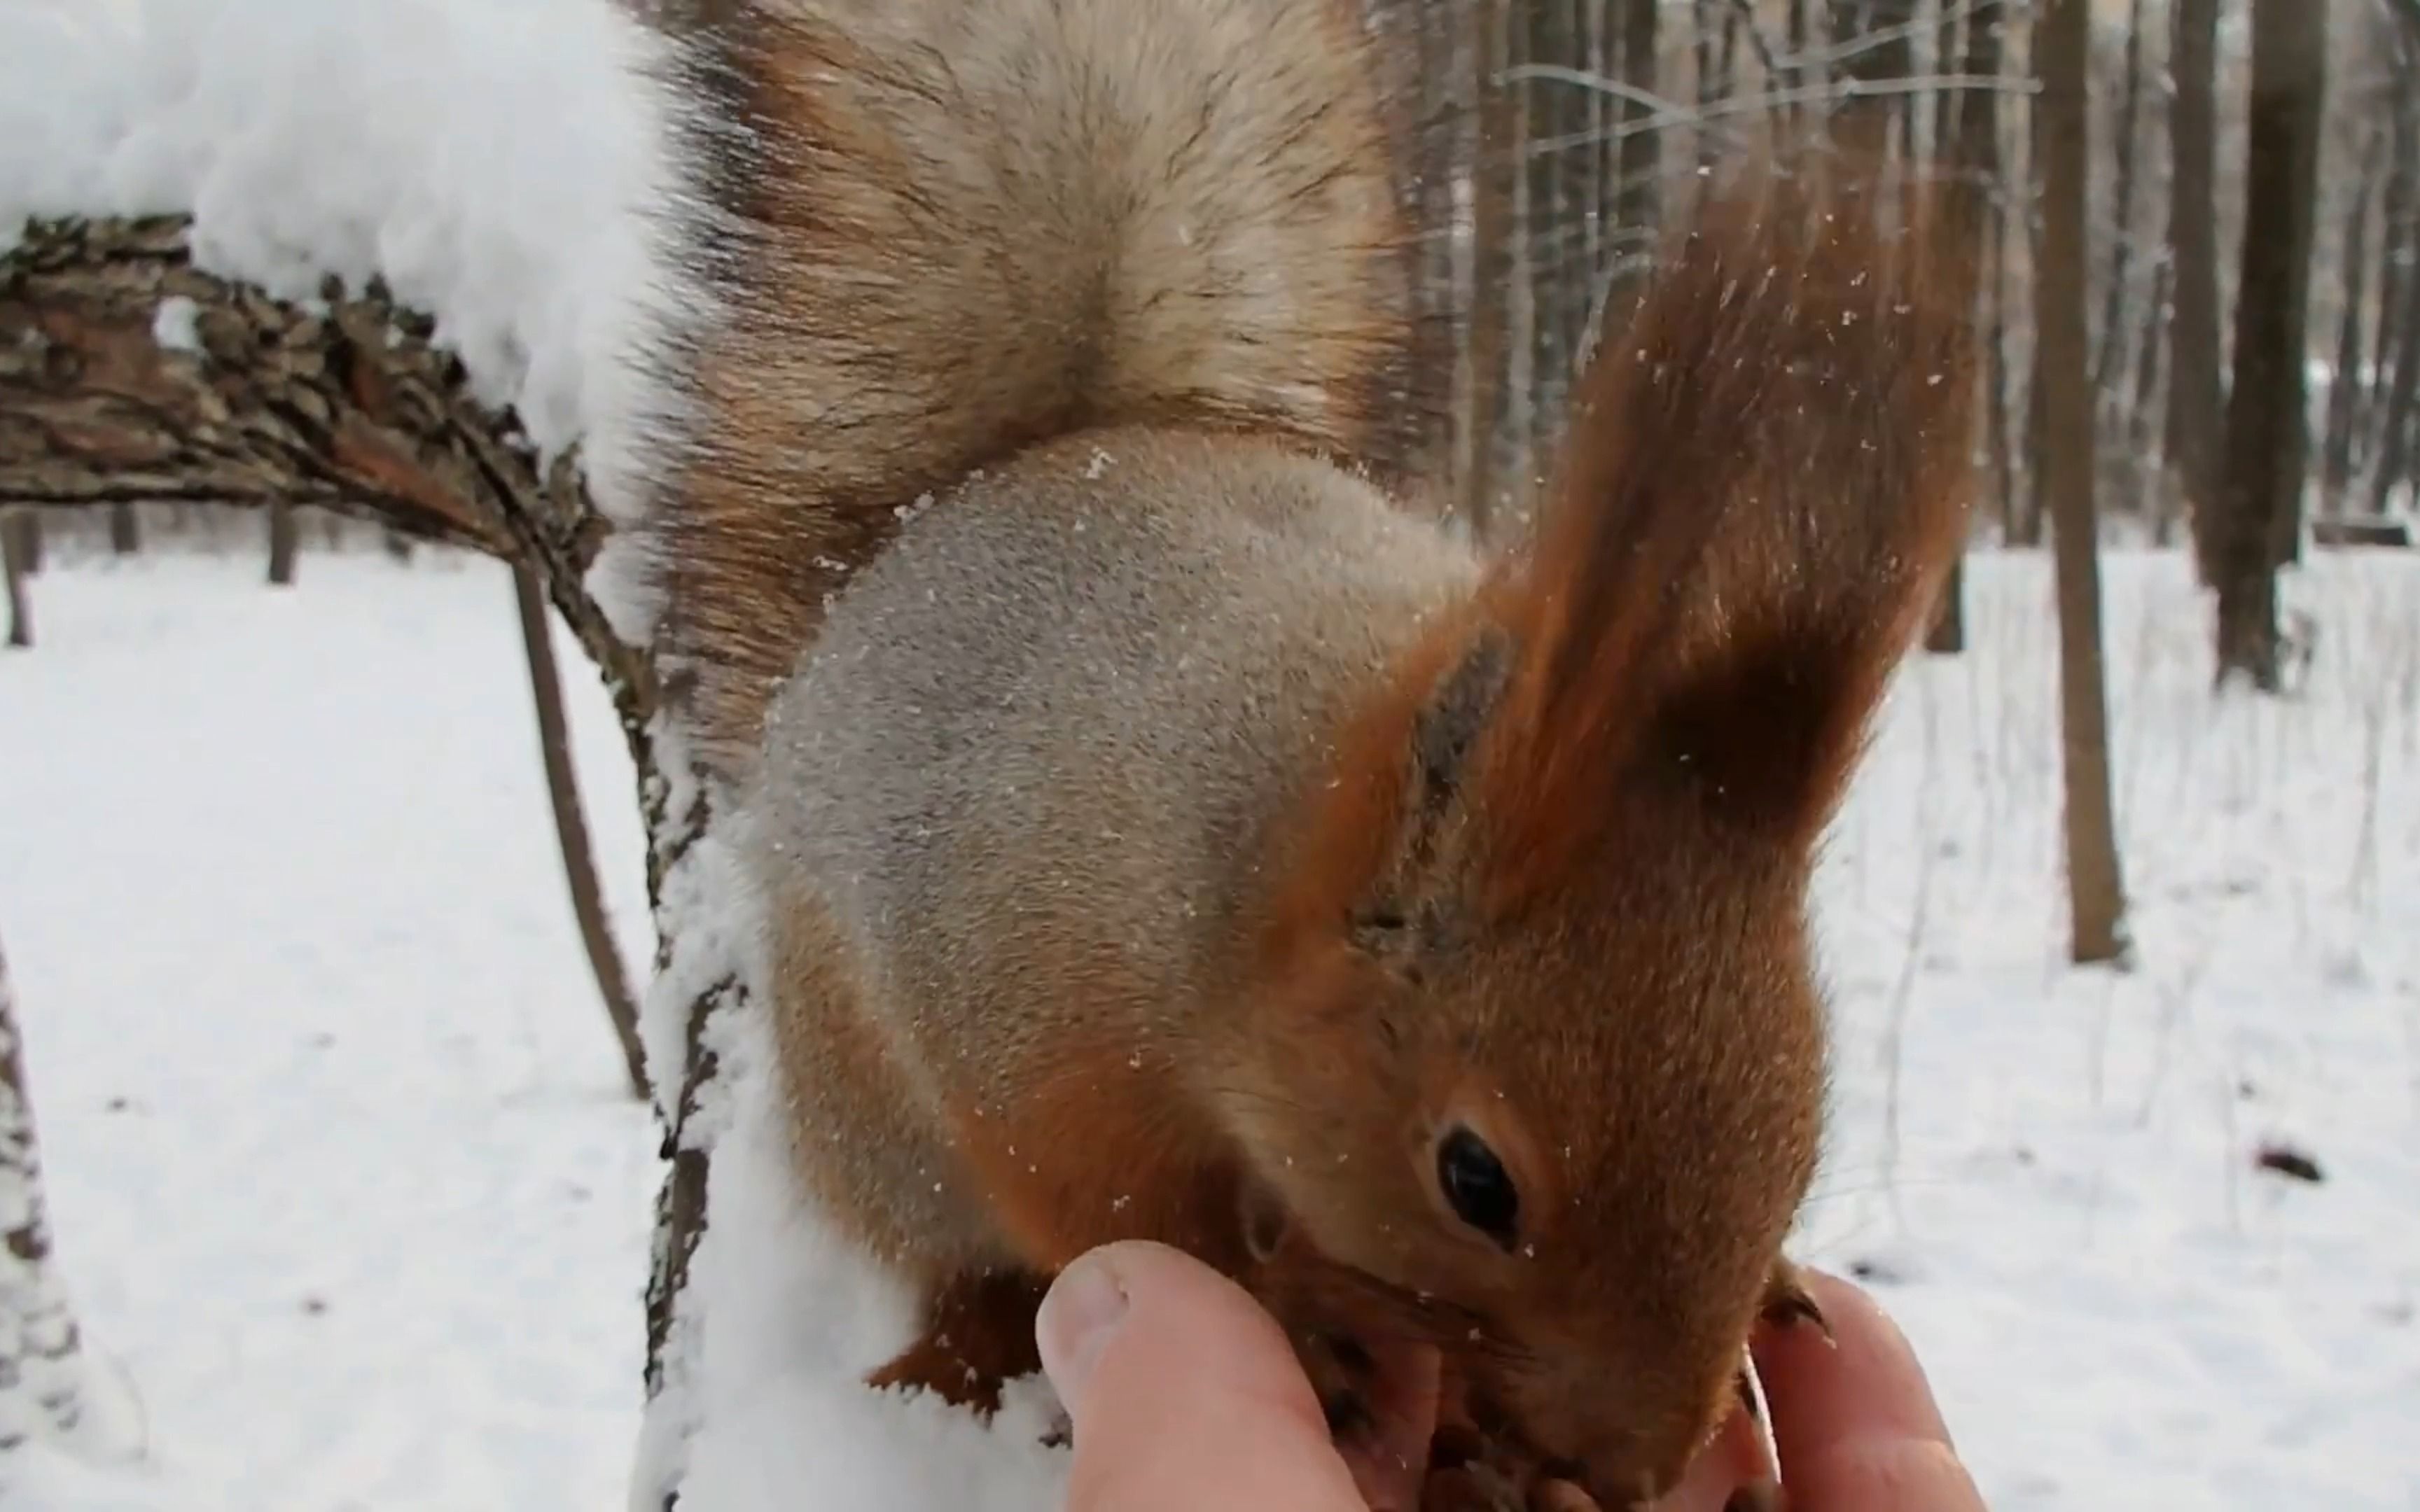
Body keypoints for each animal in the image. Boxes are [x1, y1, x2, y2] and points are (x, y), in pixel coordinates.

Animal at [634, 0, 1975, 1499]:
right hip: (878, 1129)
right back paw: (963, 1353)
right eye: (1475, 1181)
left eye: (1804, 1131)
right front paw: (1289, 1314)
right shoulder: (1026, 1016)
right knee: (954, 1265)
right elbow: (1113, 1208)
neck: (1255, 836)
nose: (1633, 1469)